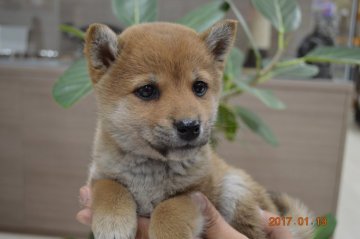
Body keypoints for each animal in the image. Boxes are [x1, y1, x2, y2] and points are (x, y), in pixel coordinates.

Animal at [83, 20, 314, 239]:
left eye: (199, 87)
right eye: (147, 90)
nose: (189, 126)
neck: (150, 171)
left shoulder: (197, 193)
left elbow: (169, 209)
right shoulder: (99, 174)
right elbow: (110, 188)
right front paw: (113, 222)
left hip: (235, 188)